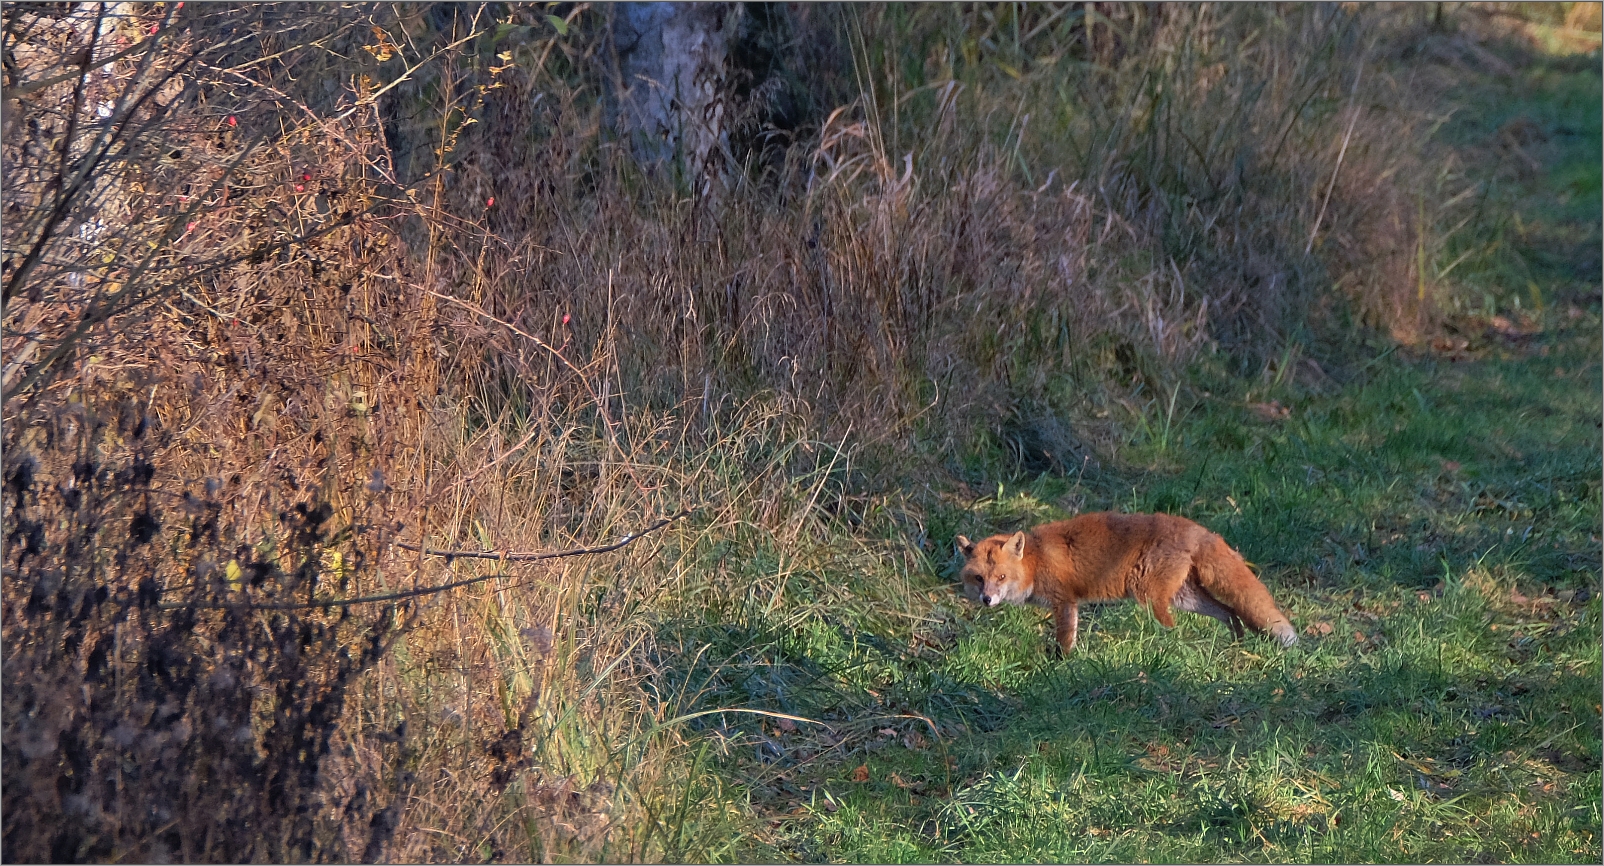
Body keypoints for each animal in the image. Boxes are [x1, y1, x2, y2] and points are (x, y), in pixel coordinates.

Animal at [955, 513, 1296, 647]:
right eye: (979, 578)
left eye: (1001, 577)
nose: (987, 599)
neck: (1036, 562)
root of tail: (1195, 527)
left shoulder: (1064, 601)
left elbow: (1065, 639)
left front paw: (1062, 664)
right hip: (1186, 597)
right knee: (1231, 611)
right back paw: (1235, 641)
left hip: (1149, 594)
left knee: (1172, 624)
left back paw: (1170, 644)